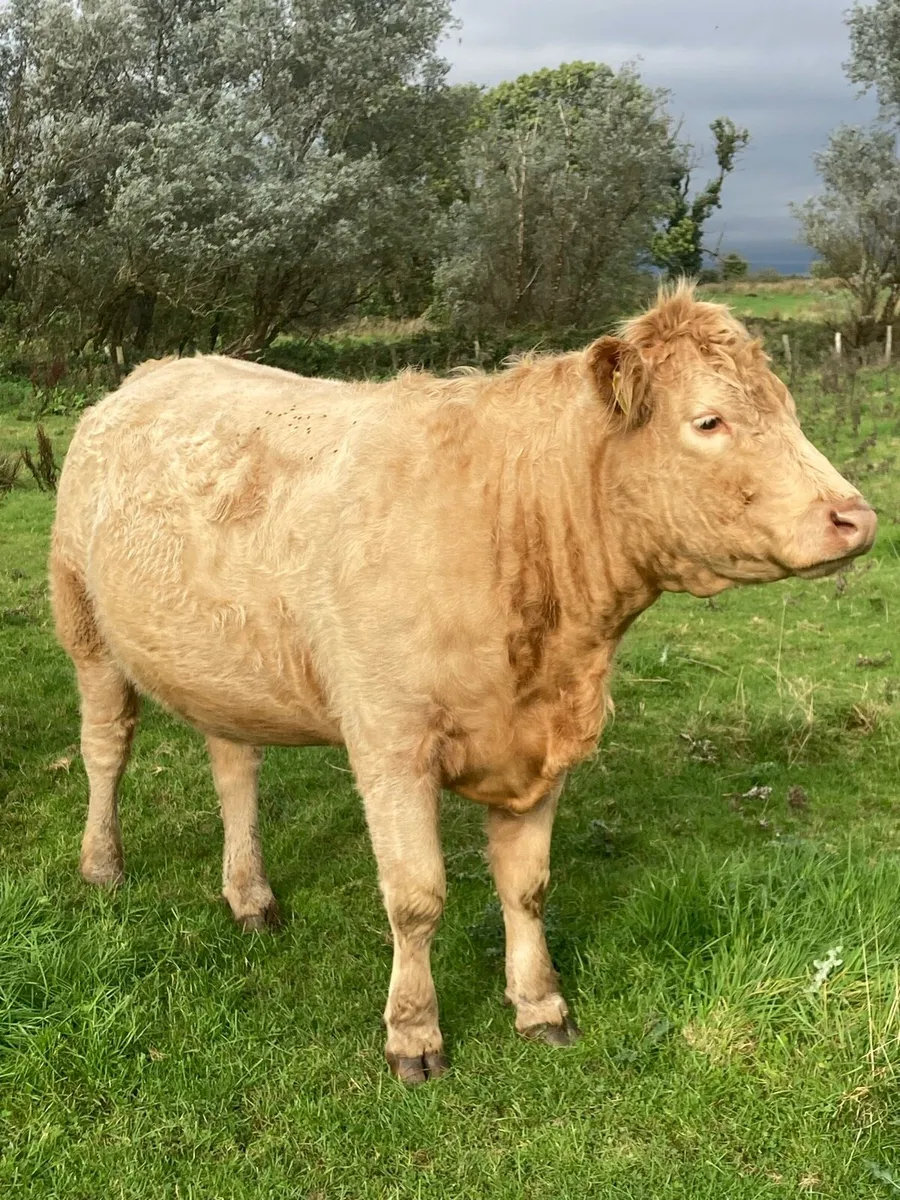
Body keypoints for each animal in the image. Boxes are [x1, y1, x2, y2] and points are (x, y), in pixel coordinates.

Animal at [49, 284, 876, 1083]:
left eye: (788, 410)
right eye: (708, 421)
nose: (855, 517)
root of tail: (151, 372)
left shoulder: (543, 740)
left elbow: (528, 885)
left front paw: (540, 1004)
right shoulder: (390, 742)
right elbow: (417, 897)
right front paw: (413, 1033)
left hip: (228, 667)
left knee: (234, 768)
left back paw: (249, 893)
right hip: (85, 629)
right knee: (105, 750)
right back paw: (102, 865)